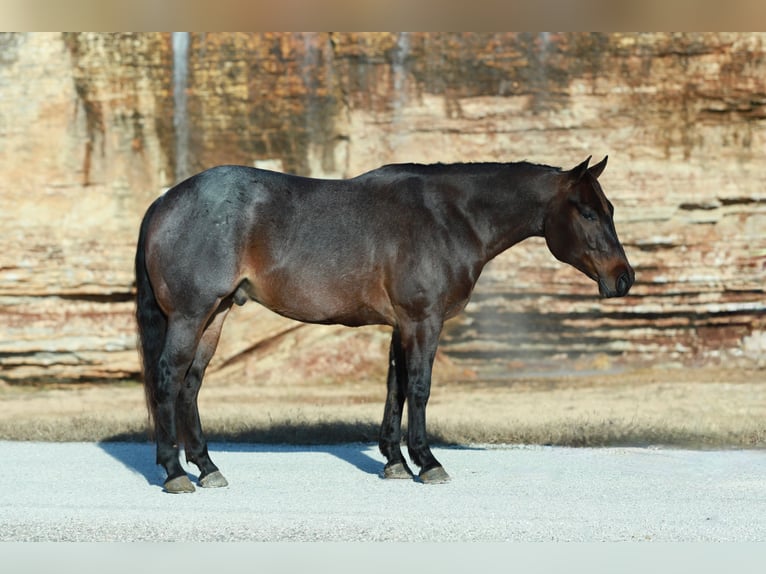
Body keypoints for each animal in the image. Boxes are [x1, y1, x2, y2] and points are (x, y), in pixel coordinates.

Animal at [135, 155, 634, 493]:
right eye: (588, 212)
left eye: (609, 209)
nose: (623, 278)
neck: (449, 218)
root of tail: (164, 200)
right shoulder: (423, 321)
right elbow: (420, 387)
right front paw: (427, 462)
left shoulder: (402, 325)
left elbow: (396, 387)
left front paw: (395, 461)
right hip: (192, 314)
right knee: (168, 377)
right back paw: (175, 472)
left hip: (214, 315)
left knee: (190, 384)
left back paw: (207, 467)